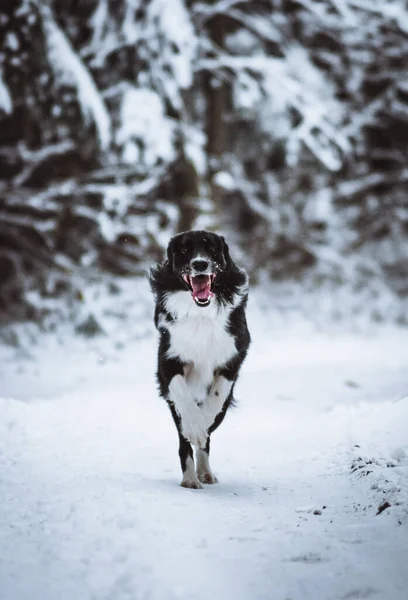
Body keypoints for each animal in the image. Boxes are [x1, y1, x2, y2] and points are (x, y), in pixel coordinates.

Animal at [150, 230, 250, 488]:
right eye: (184, 250)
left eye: (212, 248)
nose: (200, 264)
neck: (201, 313)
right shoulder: (167, 359)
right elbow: (182, 394)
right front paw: (195, 428)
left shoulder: (233, 358)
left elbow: (215, 397)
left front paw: (202, 425)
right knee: (183, 439)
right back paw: (190, 478)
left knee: (209, 433)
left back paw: (205, 471)